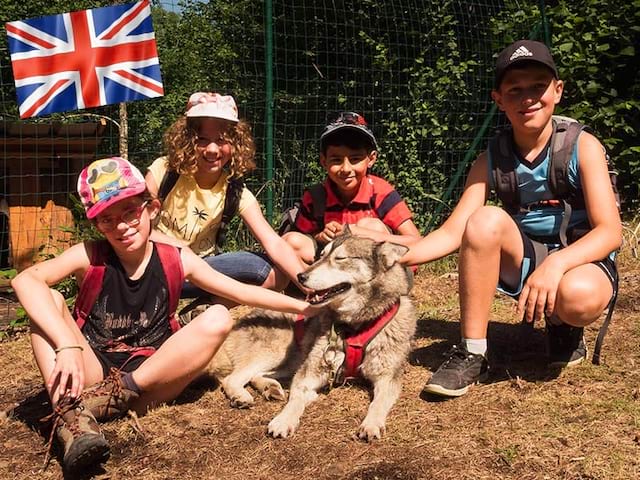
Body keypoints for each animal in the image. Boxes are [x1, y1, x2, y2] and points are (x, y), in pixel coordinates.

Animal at [204, 231, 416, 440]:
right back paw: (242, 396)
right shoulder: (310, 372)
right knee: (232, 379)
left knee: (254, 376)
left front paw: (371, 424)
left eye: (340, 258)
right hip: (276, 353)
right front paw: (284, 420)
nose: (301, 275)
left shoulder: (388, 378)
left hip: (289, 362)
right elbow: (296, 398)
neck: (354, 326)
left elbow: (378, 403)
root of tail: (238, 322)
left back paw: (270, 388)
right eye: (321, 255)